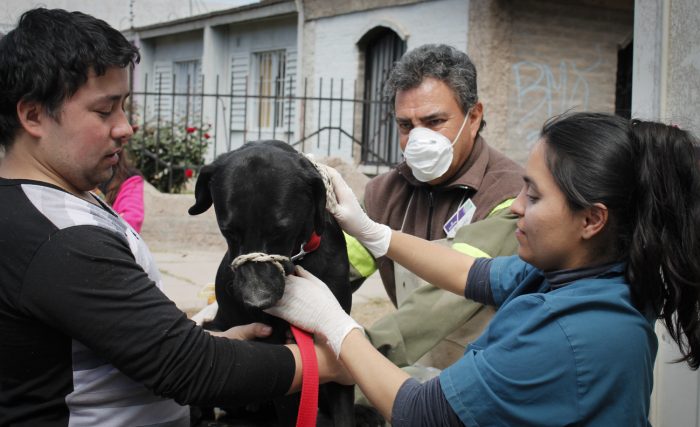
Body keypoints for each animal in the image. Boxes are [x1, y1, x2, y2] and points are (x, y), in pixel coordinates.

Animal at [189, 140, 352, 427]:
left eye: (281, 230)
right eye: (228, 231)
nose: (256, 300)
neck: (300, 260)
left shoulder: (336, 334)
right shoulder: (284, 352)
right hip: (213, 329)